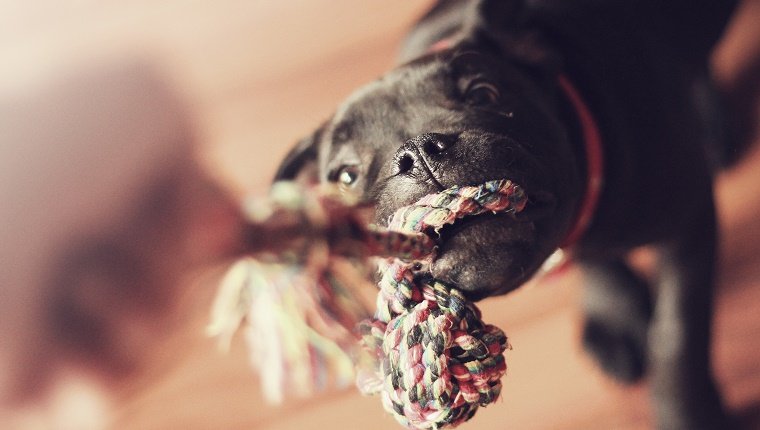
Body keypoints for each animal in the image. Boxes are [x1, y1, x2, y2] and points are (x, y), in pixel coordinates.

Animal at [274, 1, 744, 428]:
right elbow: (592, 262)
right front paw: (615, 316)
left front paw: (690, 417)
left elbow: (677, 342)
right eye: (345, 177)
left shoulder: (689, 223)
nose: (417, 152)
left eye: (484, 93)